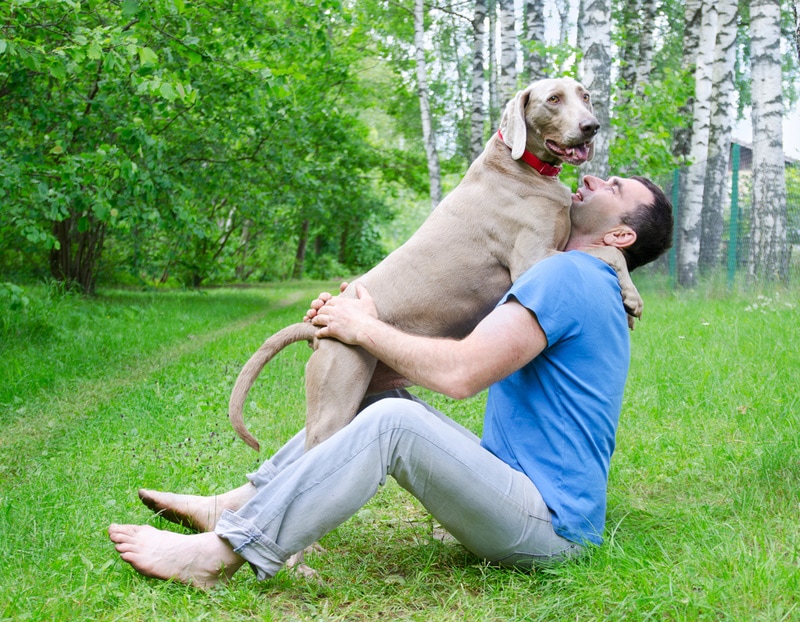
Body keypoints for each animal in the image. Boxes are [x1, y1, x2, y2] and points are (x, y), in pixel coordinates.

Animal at [228, 77, 640, 454]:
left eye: (585, 96)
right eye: (553, 99)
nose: (591, 126)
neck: (523, 166)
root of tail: (317, 328)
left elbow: (601, 251)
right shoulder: (532, 261)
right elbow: (605, 252)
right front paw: (632, 299)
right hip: (334, 400)